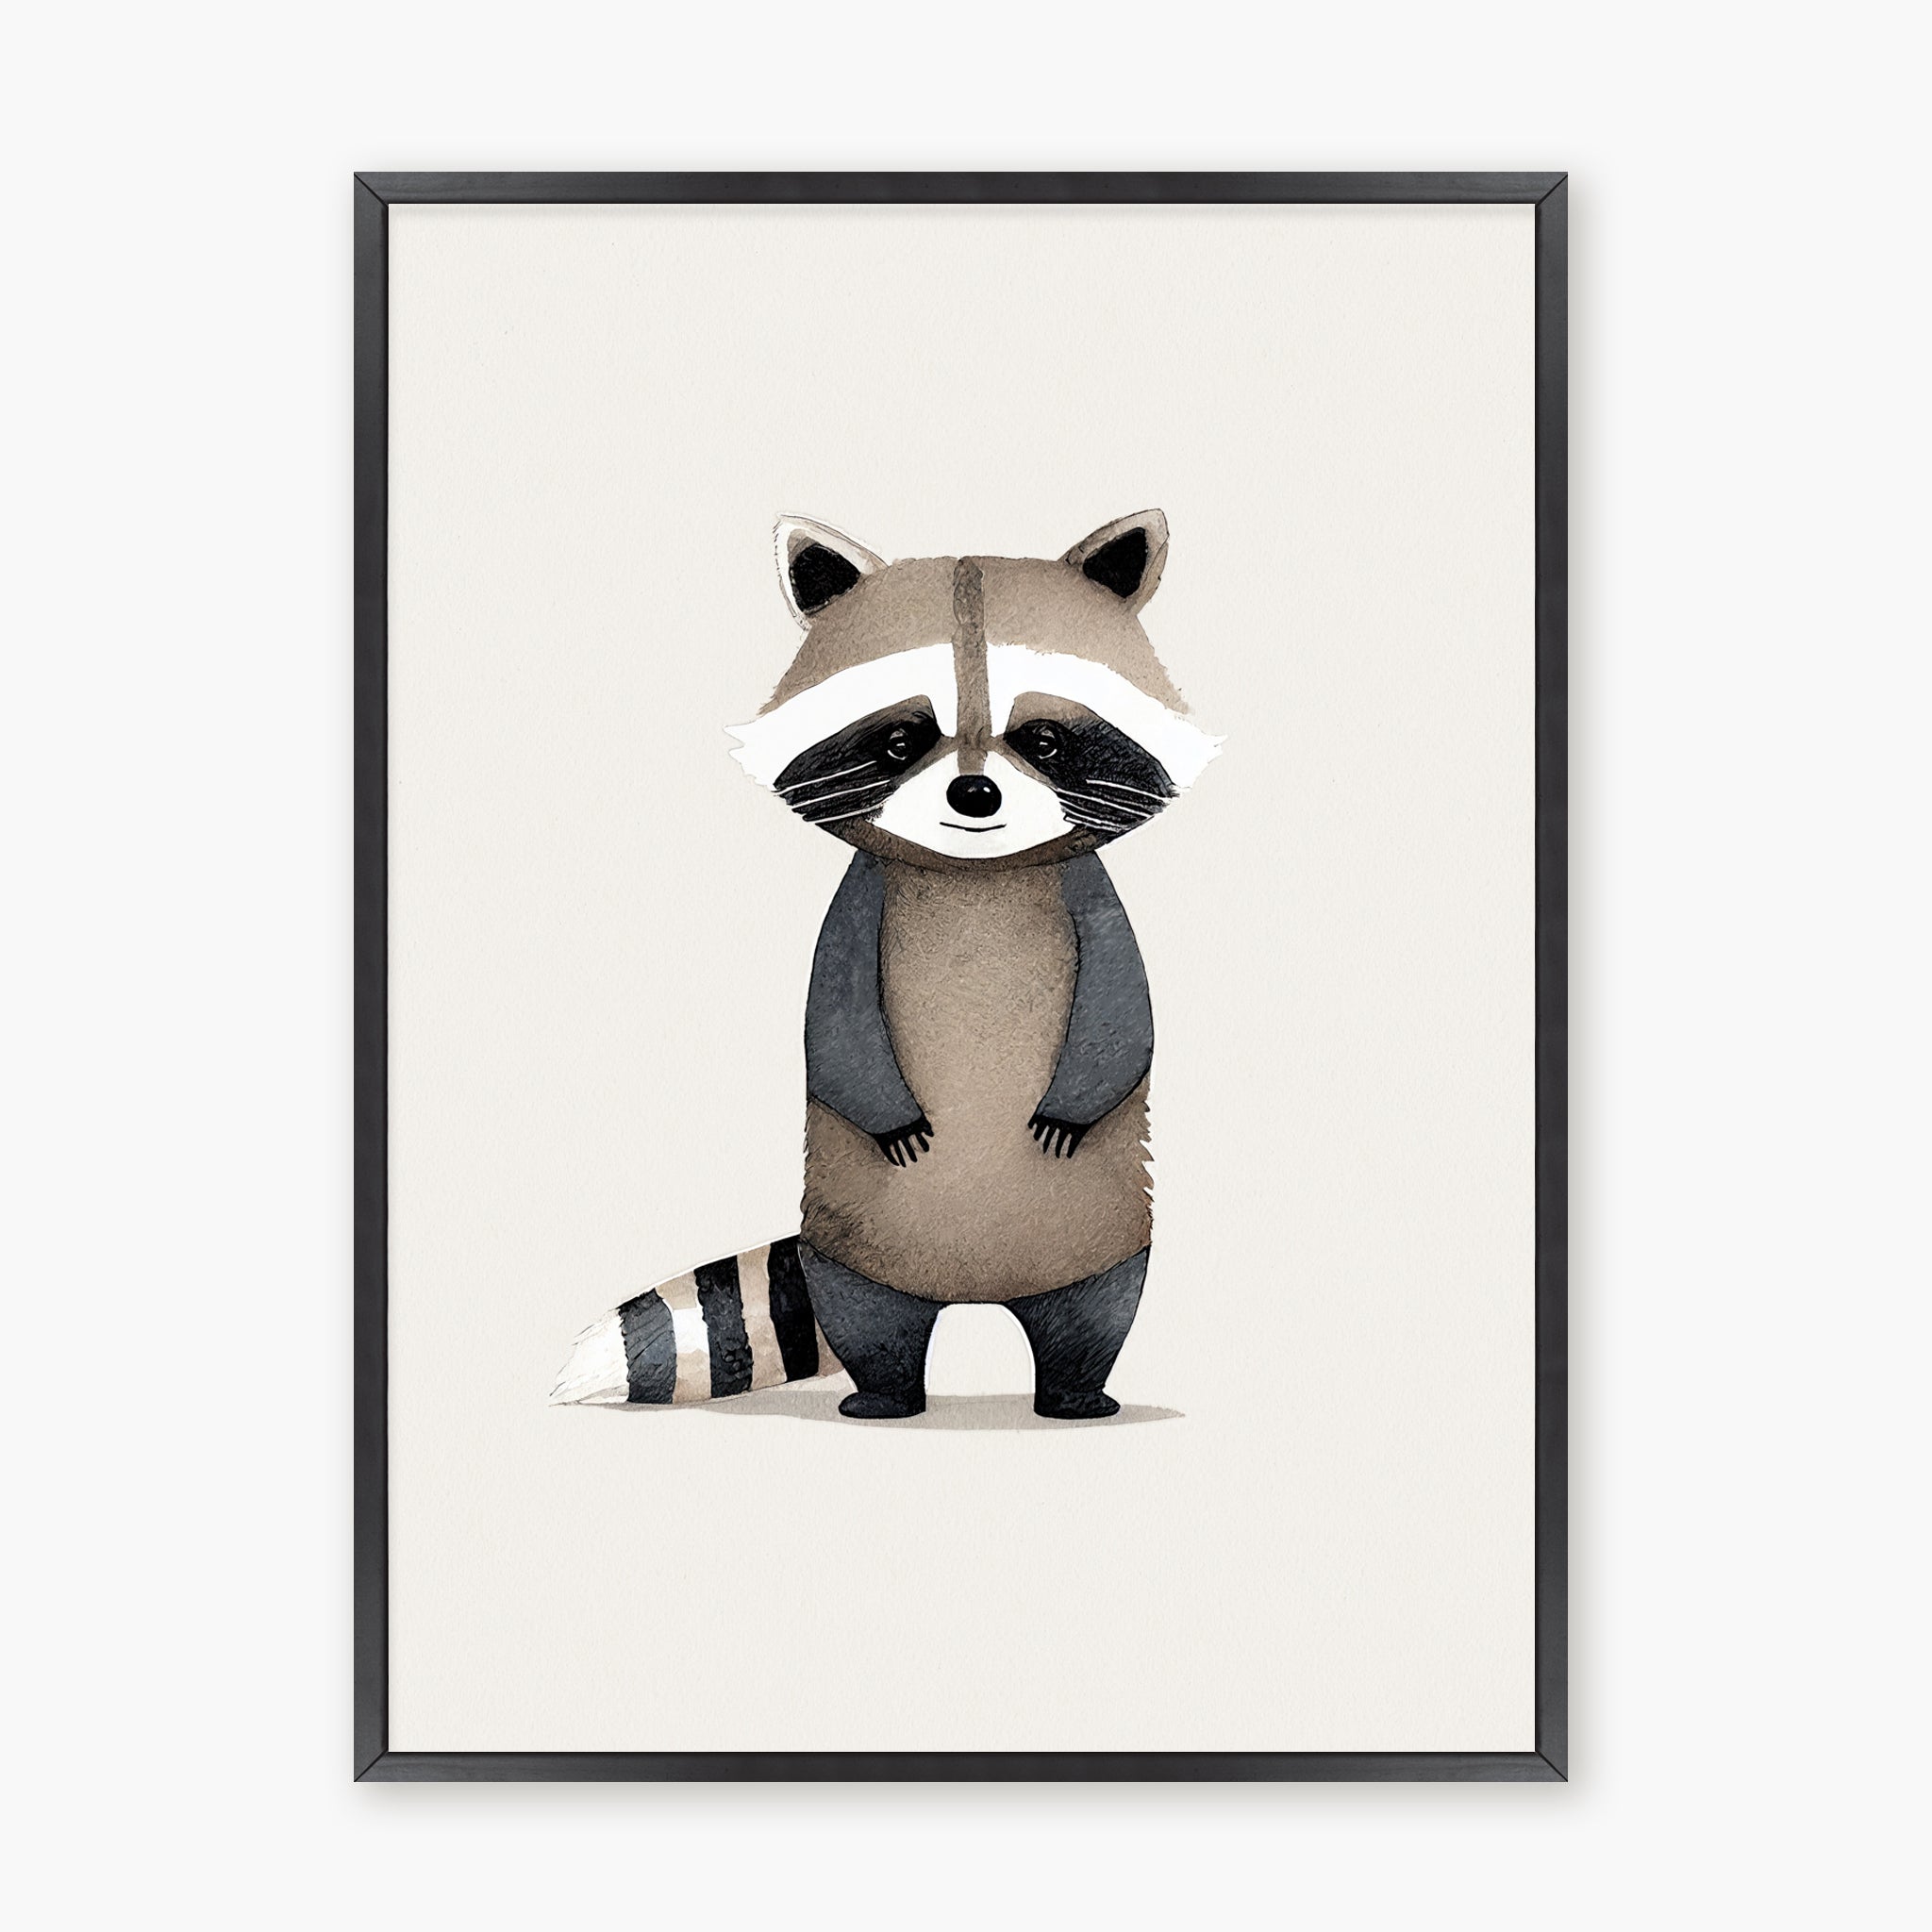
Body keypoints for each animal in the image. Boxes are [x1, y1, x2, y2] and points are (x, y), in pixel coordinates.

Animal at [550, 511, 1218, 1420]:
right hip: (850, 1230)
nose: (975, 796)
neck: (972, 875)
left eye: (1042, 737)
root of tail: (974, 1289)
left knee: (1100, 1308)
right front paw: (887, 1110)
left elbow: (1125, 1011)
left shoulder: (1091, 896)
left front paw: (1071, 1104)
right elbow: (832, 1027)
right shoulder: (859, 903)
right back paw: (884, 1394)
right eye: (903, 738)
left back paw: (1076, 1392)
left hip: (1103, 1227)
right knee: (866, 1312)